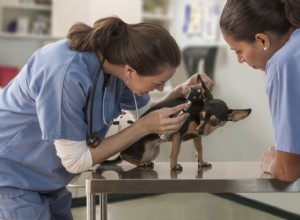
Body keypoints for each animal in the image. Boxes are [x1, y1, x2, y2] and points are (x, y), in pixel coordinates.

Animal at [103, 75, 251, 170]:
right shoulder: (178, 134)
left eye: (214, 121)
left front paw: (202, 162)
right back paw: (141, 163)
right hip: (142, 150)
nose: (200, 130)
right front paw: (174, 165)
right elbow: (176, 151)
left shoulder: (196, 137)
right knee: (123, 154)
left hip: (153, 152)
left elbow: (199, 149)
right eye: (202, 116)